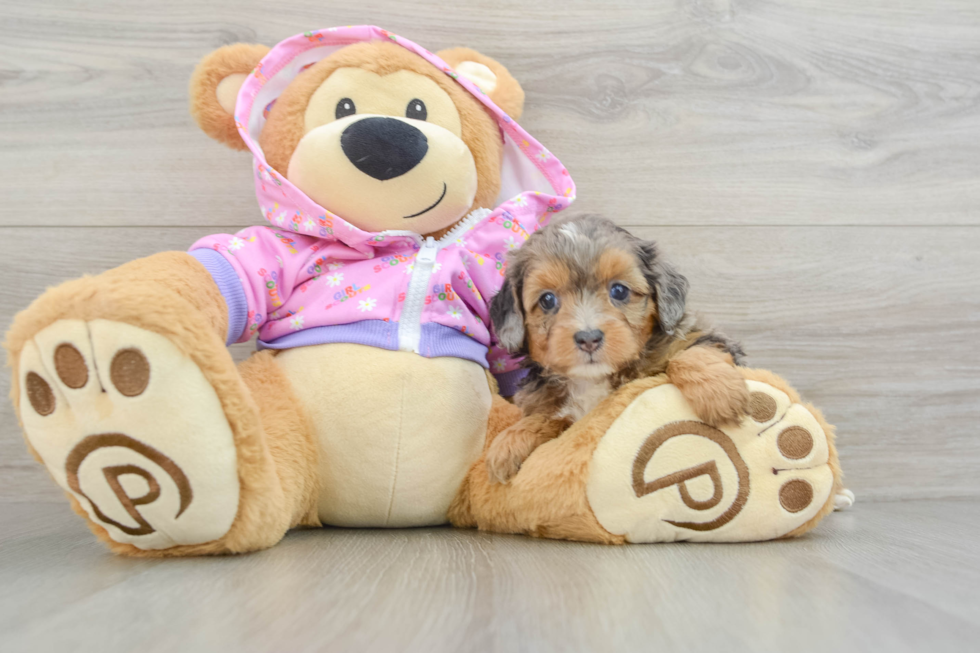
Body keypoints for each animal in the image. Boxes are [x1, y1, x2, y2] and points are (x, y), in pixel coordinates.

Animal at [488, 214, 752, 484]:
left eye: (619, 291)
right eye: (547, 300)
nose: (589, 338)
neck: (592, 380)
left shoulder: (699, 337)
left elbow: (689, 352)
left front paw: (719, 393)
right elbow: (547, 417)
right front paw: (512, 441)